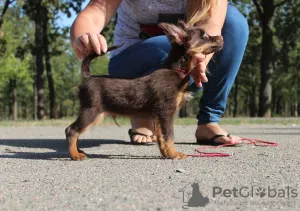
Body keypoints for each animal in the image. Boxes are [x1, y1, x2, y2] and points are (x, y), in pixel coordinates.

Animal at [67, 21, 224, 160]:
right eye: (204, 36)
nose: (221, 37)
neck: (174, 69)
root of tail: (88, 76)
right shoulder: (166, 112)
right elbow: (169, 136)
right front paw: (174, 154)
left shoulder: (159, 115)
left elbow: (161, 137)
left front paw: (167, 154)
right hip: (92, 111)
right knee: (71, 131)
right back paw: (75, 155)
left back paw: (78, 151)